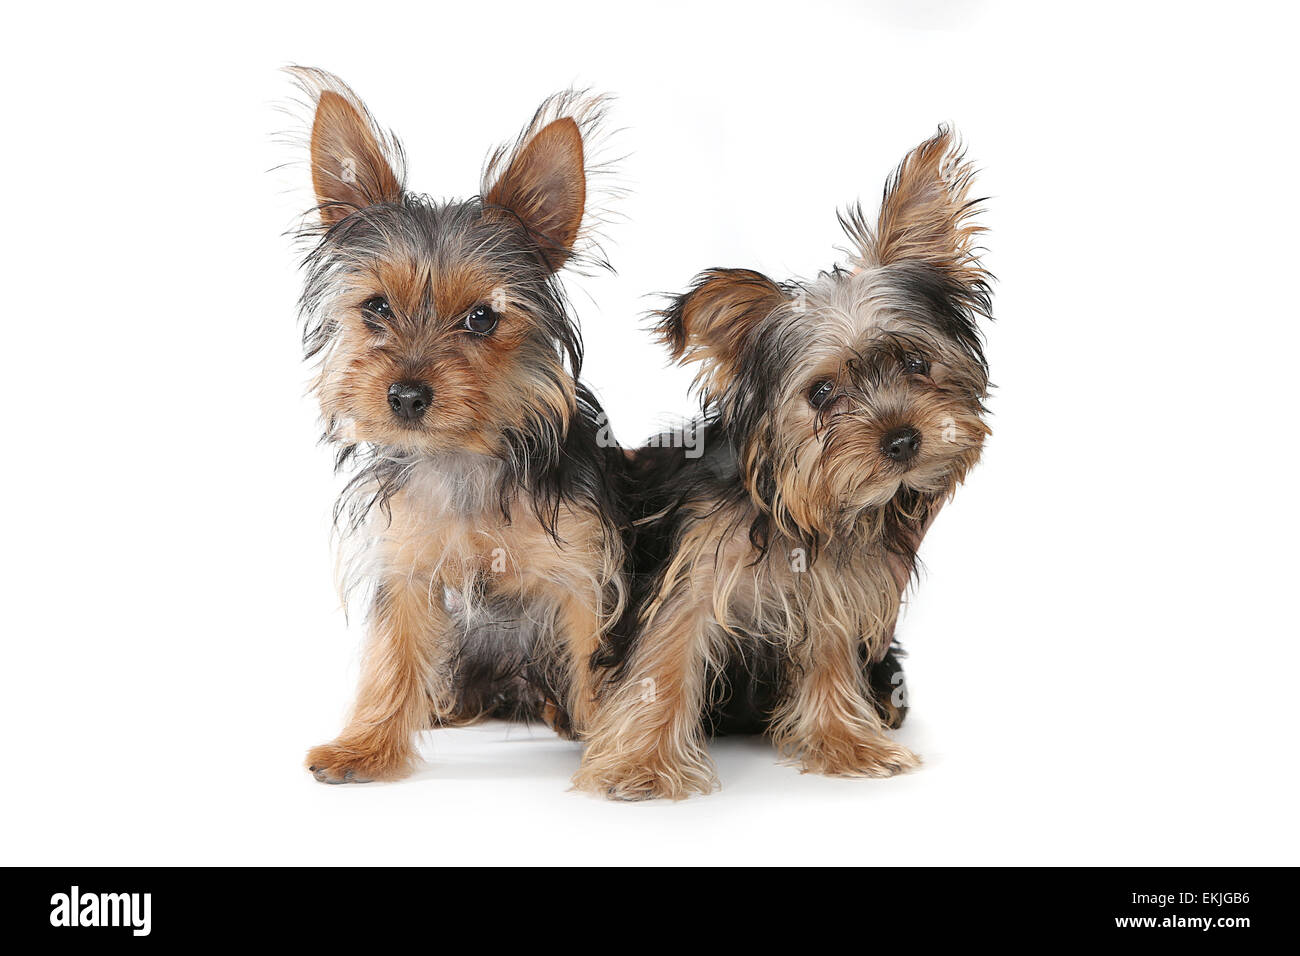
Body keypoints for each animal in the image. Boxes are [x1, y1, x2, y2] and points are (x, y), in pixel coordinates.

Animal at [288, 69, 624, 785]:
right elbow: (392, 656)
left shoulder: (583, 573)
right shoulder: (406, 568)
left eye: (482, 319)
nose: (407, 395)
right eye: (376, 308)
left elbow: (598, 658)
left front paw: (614, 741)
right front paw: (365, 746)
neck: (461, 454)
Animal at [574, 127, 987, 801]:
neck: (795, 510)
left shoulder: (839, 588)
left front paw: (848, 743)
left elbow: (830, 658)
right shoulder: (689, 574)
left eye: (916, 363)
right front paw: (643, 765)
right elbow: (665, 655)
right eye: (821, 394)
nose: (902, 440)